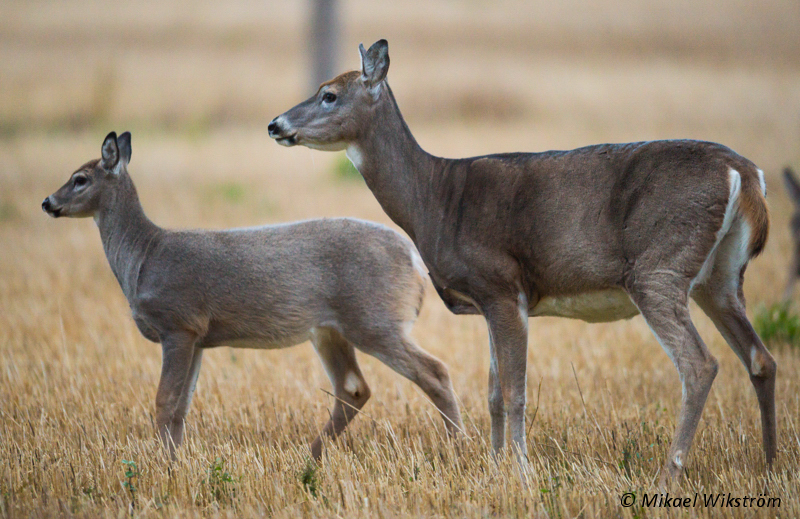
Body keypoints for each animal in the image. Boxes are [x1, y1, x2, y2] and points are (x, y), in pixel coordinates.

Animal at [43, 132, 466, 462]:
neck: (143, 257)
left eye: (80, 179)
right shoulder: (198, 337)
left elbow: (164, 403)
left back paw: (457, 447)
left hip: (374, 318)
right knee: (353, 388)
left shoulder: (178, 322)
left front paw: (162, 466)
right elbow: (181, 407)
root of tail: (414, 259)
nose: (48, 202)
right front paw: (176, 462)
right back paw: (311, 456)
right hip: (330, 329)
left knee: (435, 372)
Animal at [268, 38, 776, 482]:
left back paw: (669, 474)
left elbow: (515, 392)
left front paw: (522, 472)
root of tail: (744, 172)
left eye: (330, 95)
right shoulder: (490, 301)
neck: (435, 198)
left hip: (659, 267)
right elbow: (494, 392)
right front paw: (494, 469)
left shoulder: (501, 285)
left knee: (700, 365)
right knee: (761, 358)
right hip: (720, 277)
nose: (275, 124)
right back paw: (770, 465)